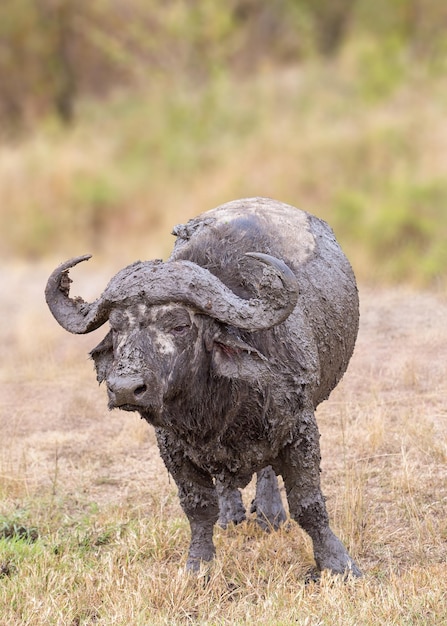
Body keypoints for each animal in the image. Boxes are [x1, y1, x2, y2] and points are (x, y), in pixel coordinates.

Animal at [44, 195, 360, 576]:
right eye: (117, 327)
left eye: (179, 324)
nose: (124, 388)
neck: (218, 406)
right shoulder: (172, 446)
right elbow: (197, 507)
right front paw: (198, 564)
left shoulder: (300, 427)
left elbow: (308, 503)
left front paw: (338, 563)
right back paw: (232, 514)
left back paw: (270, 514)